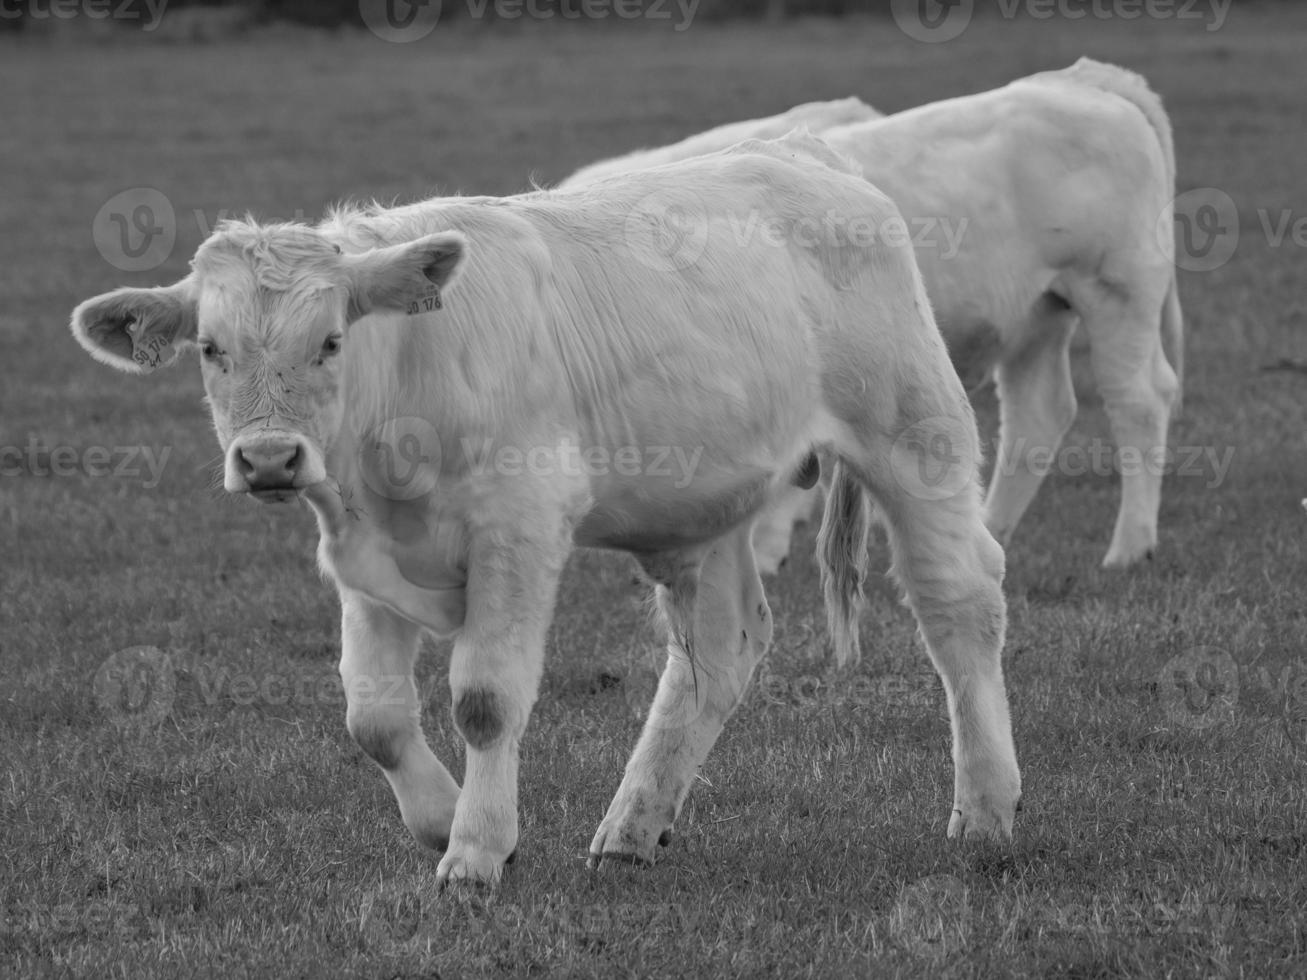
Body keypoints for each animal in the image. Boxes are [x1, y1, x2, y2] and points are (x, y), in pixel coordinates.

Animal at [74, 136, 1019, 888]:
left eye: (331, 341)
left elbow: (484, 700)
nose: (269, 458)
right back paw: (632, 827)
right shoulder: (358, 554)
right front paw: (439, 819)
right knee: (719, 651)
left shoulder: (518, 529)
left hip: (915, 434)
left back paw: (984, 812)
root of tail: (805, 157)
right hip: (704, 508)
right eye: (211, 349)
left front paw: (476, 851)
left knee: (959, 606)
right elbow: (373, 718)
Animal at [567, 61, 1181, 572]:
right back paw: (993, 526)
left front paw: (767, 548)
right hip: (1038, 319)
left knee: (1139, 402)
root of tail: (1082, 80)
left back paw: (1129, 546)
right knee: (1039, 416)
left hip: (1117, 291)